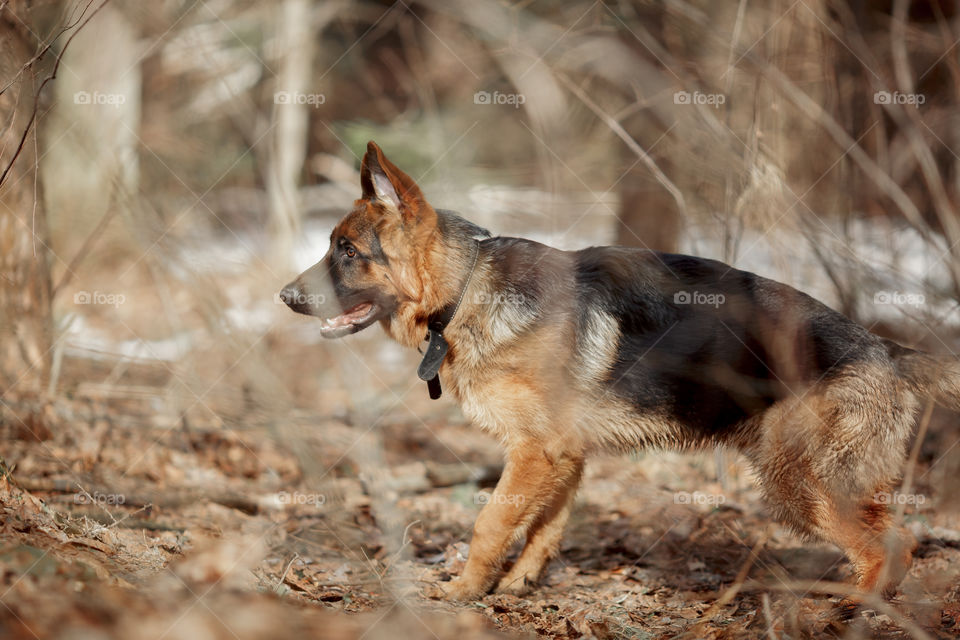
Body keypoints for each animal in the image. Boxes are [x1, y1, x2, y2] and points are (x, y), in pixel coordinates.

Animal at [280, 141, 960, 604]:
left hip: (797, 483)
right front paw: (519, 585)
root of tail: (886, 349)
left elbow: (491, 522)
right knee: (898, 540)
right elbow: (543, 527)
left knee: (888, 548)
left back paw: (850, 610)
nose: (284, 297)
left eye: (347, 252)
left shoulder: (534, 453)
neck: (466, 288)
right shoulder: (560, 456)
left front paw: (464, 592)